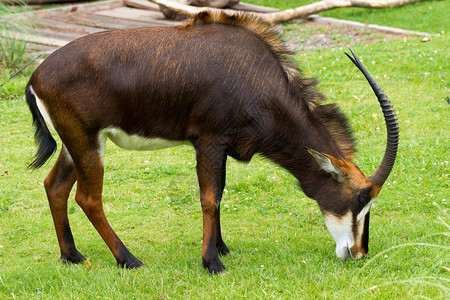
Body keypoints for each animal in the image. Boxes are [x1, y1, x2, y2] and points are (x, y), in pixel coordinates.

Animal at [25, 11, 398, 274]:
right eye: (360, 198)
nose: (359, 253)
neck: (259, 80)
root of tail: (35, 76)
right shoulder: (208, 140)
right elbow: (209, 198)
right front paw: (212, 263)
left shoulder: (223, 148)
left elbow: (220, 192)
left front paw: (220, 248)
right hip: (87, 142)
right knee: (88, 199)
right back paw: (128, 259)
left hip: (76, 144)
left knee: (54, 186)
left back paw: (72, 255)